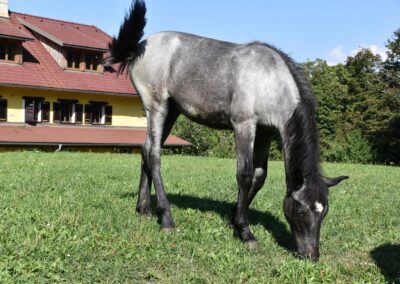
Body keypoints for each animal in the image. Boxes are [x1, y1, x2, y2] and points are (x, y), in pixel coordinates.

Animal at [108, 0, 348, 262]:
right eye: (303, 211)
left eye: (324, 212)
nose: (311, 255)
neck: (269, 81)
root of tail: (139, 47)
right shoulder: (244, 125)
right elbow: (244, 175)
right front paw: (245, 231)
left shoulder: (265, 133)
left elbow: (259, 177)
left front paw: (235, 219)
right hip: (156, 106)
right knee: (154, 156)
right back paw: (167, 218)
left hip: (171, 111)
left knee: (146, 150)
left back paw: (144, 208)